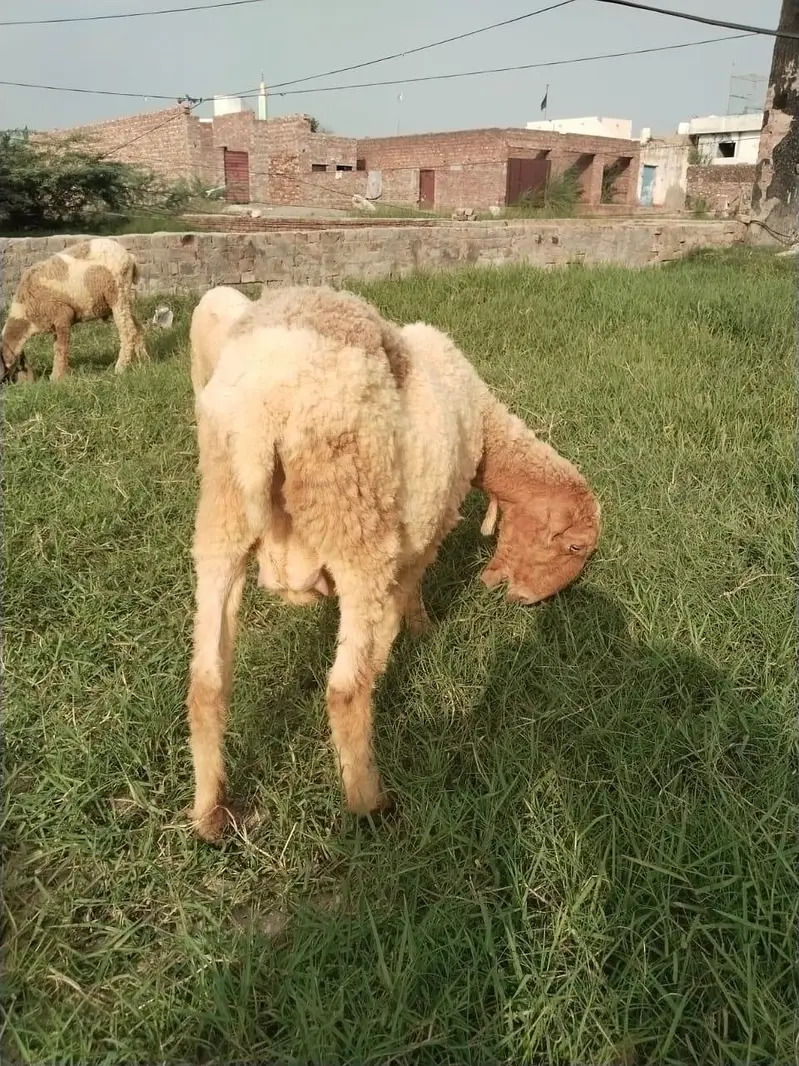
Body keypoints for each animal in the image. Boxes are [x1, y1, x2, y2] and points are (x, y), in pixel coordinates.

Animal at [0, 237, 148, 383]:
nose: (30, 382)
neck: (25, 316)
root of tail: (130, 257)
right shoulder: (56, 325)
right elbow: (57, 347)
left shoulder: (62, 316)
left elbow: (61, 349)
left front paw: (57, 378)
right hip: (123, 300)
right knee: (137, 328)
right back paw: (144, 361)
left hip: (117, 293)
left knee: (128, 331)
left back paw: (121, 368)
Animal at [186, 285, 600, 840]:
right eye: (574, 548)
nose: (527, 602)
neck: (485, 428)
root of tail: (264, 411)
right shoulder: (429, 528)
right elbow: (409, 593)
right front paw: (420, 631)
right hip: (355, 525)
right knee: (344, 691)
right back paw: (370, 803)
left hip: (221, 520)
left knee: (206, 683)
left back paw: (210, 813)